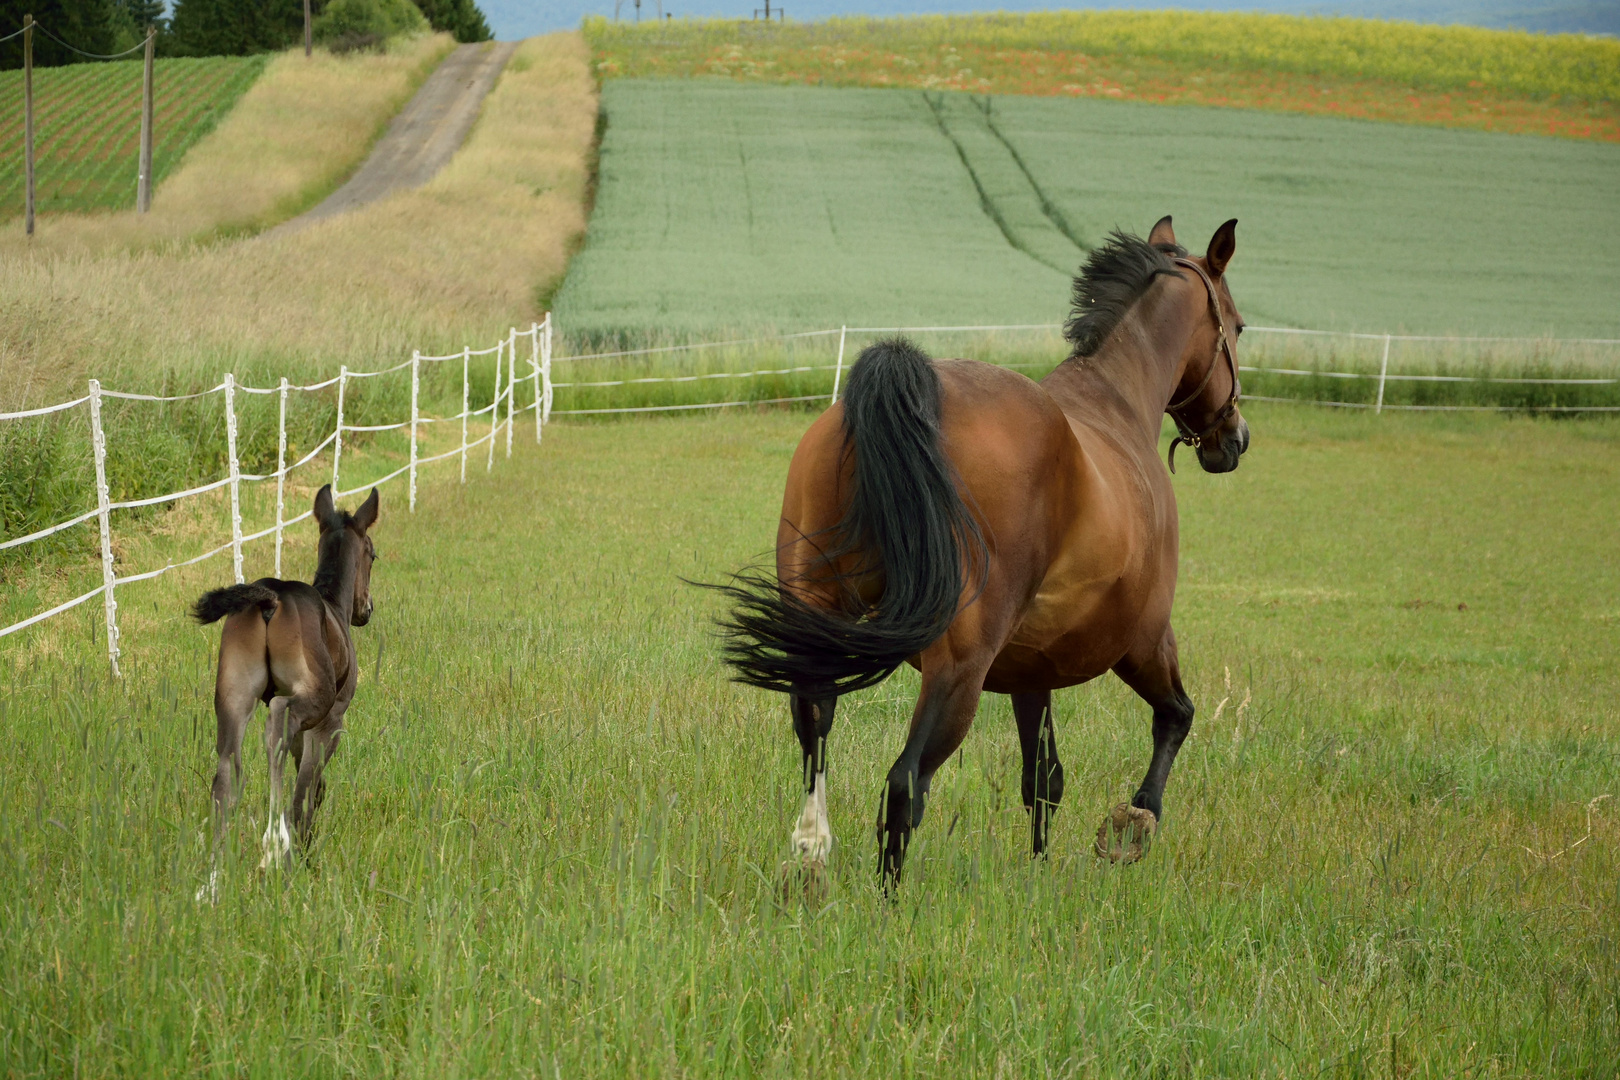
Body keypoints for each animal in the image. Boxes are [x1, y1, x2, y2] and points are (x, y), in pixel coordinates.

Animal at [193, 488, 379, 887]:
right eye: (372, 554)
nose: (366, 609)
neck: (333, 605)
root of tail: (271, 598)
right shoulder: (331, 721)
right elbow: (306, 787)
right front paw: (305, 851)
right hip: (309, 699)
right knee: (278, 721)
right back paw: (275, 846)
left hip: (233, 698)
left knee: (227, 768)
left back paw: (213, 877)